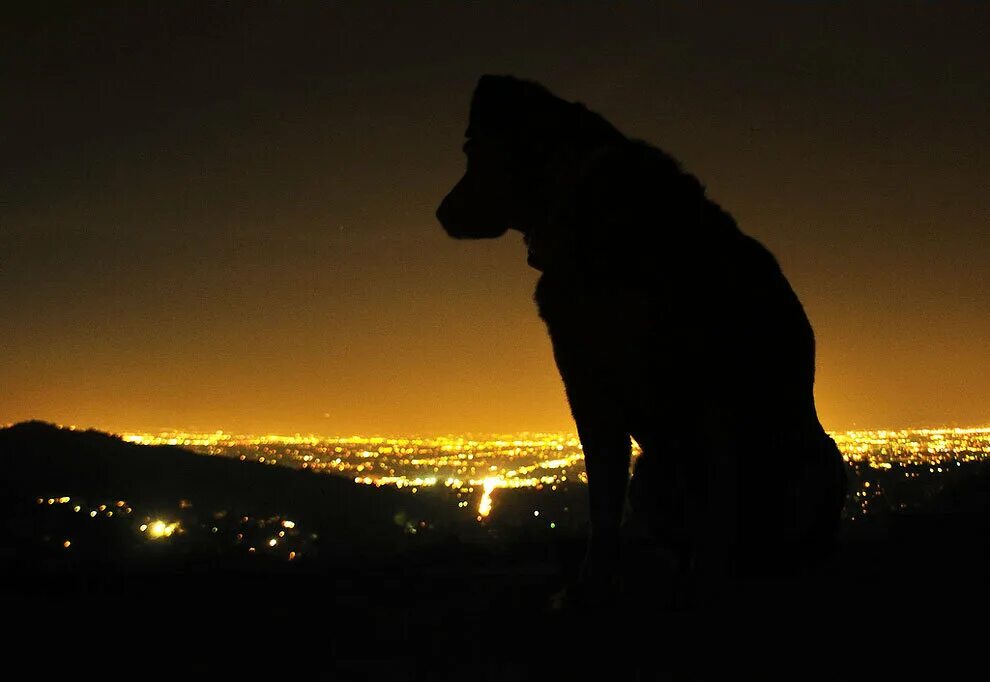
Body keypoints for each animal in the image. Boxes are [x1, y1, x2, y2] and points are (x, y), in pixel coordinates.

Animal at [438, 75, 848, 596]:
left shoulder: (707, 388)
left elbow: (716, 503)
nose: (440, 212)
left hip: (817, 465)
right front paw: (591, 584)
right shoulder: (587, 389)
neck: (577, 206)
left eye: (471, 149)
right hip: (649, 477)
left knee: (775, 542)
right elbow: (602, 508)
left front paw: (707, 580)